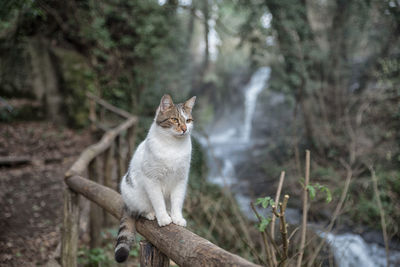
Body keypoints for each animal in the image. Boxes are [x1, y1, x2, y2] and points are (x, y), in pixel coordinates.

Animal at [114, 94, 195, 264]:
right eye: (175, 119)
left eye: (188, 120)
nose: (185, 129)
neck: (173, 146)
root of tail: (126, 204)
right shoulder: (152, 179)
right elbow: (158, 201)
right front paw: (163, 217)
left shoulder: (181, 179)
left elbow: (177, 201)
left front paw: (177, 217)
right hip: (129, 189)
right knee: (141, 208)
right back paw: (150, 213)